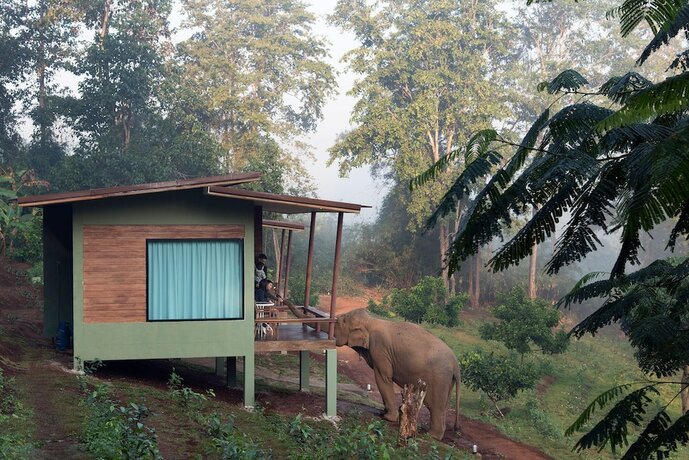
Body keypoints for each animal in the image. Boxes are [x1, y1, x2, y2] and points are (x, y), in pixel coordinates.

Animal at [335, 308, 460, 440]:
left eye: (339, 322)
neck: (371, 321)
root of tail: (456, 364)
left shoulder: (380, 349)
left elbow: (383, 378)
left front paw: (387, 418)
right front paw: (383, 412)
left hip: (439, 379)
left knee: (436, 407)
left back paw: (431, 435)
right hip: (447, 381)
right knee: (443, 407)